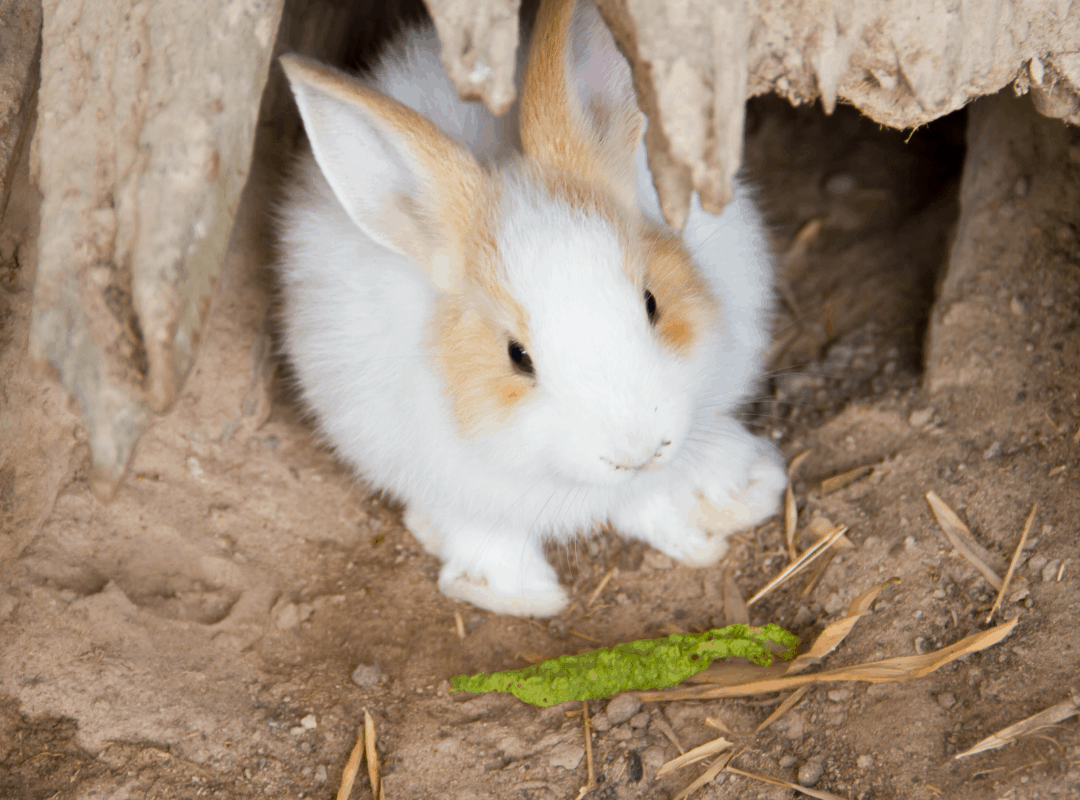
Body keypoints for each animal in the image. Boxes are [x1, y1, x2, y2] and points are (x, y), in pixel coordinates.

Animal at [275, 0, 787, 617]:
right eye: (517, 357)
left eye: (651, 304)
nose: (637, 451)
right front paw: (518, 597)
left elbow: (656, 495)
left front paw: (720, 514)